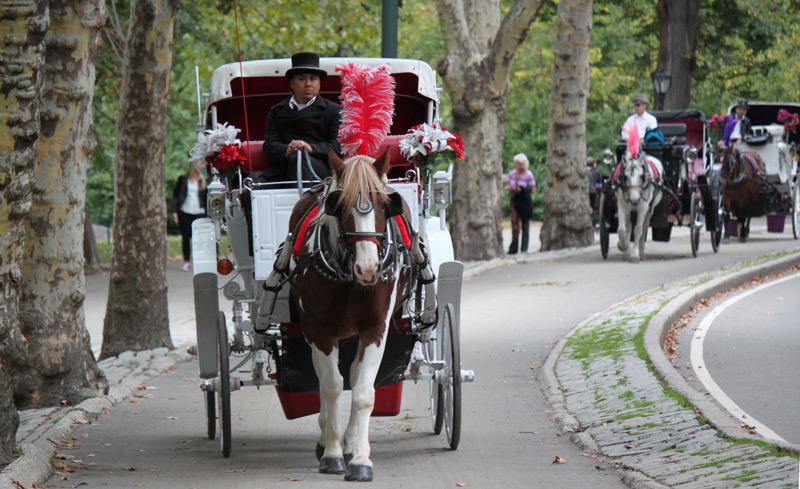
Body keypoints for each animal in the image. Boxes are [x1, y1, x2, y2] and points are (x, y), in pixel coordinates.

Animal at [288, 148, 412, 480]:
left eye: (384, 204)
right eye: (340, 206)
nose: (368, 268)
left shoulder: (376, 328)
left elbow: (363, 391)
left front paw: (360, 458)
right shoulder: (320, 331)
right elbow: (331, 386)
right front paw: (332, 454)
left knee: (355, 375)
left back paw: (352, 442)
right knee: (325, 378)